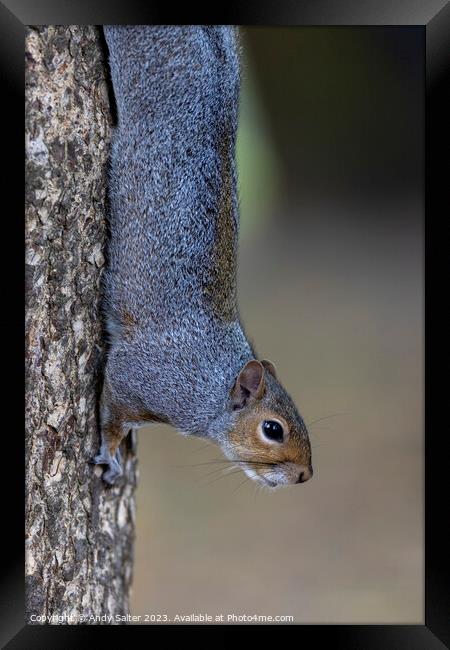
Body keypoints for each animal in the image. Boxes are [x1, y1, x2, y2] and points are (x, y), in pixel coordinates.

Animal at [94, 27, 312, 488]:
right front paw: (110, 455)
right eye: (273, 429)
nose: (306, 475)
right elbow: (113, 415)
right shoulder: (140, 377)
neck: (212, 383)